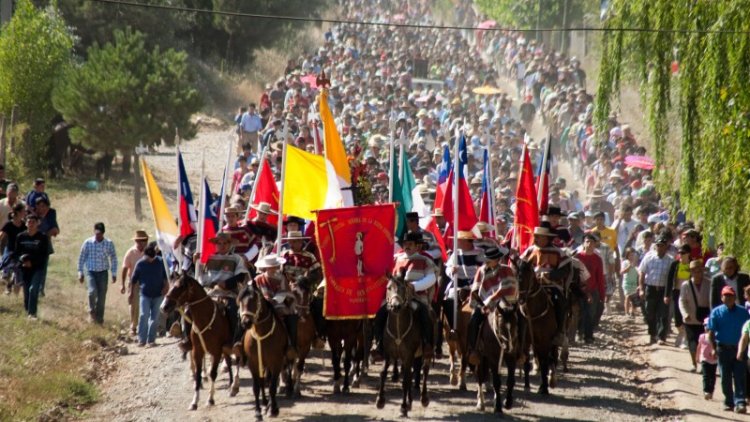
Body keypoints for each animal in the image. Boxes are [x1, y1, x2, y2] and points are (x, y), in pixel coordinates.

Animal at [162, 274, 241, 408]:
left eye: (179, 287)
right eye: (170, 285)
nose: (163, 307)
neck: (205, 319)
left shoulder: (216, 351)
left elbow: (213, 373)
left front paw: (210, 399)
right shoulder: (197, 351)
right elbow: (198, 374)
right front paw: (194, 401)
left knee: (238, 361)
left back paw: (234, 386)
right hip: (225, 348)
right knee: (229, 361)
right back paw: (231, 385)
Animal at [239, 284, 292, 418]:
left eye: (254, 300)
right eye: (240, 301)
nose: (246, 322)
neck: (261, 334)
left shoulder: (276, 362)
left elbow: (273, 386)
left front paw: (273, 409)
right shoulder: (253, 363)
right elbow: (256, 386)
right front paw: (258, 412)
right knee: (263, 381)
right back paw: (264, 402)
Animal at [374, 276, 432, 418]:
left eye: (403, 288)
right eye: (389, 287)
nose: (395, 306)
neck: (398, 329)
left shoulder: (408, 355)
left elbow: (405, 380)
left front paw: (403, 406)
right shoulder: (388, 353)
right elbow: (383, 373)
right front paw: (380, 401)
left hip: (425, 353)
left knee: (424, 370)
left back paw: (423, 398)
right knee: (411, 373)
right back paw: (410, 401)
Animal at [516, 258, 564, 396]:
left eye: (528, 275)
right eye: (516, 275)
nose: (521, 299)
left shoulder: (545, 341)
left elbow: (544, 362)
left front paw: (543, 388)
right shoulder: (526, 341)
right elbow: (526, 361)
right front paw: (527, 386)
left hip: (552, 340)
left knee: (552, 357)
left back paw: (552, 380)